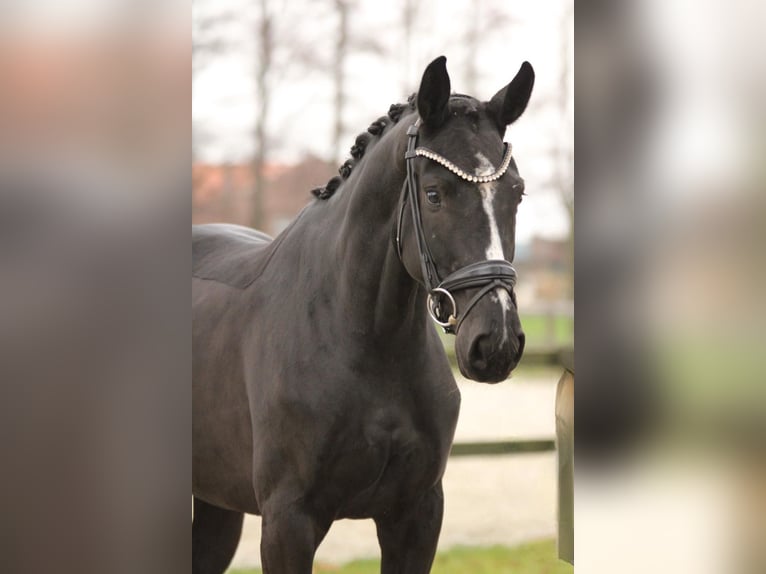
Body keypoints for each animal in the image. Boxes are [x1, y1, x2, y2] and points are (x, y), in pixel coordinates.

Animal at [194, 55, 536, 574]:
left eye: (516, 193)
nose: (495, 343)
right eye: (434, 194)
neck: (361, 342)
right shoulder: (288, 521)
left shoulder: (415, 514)